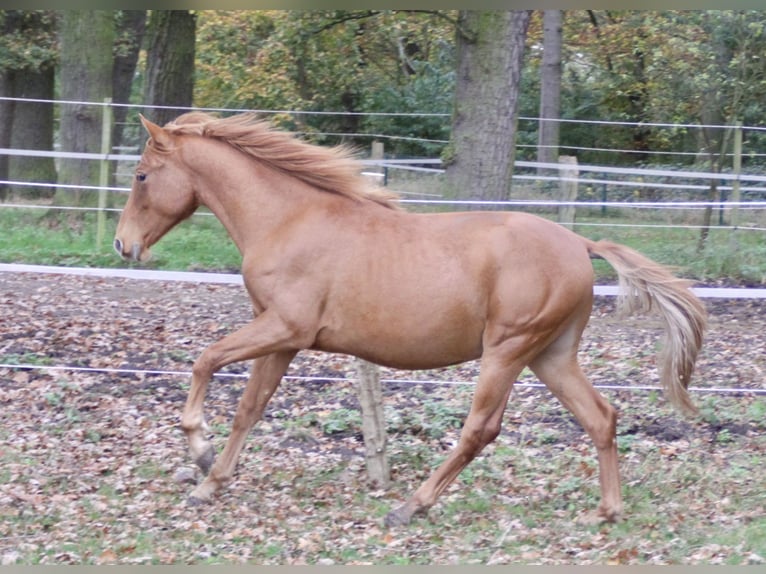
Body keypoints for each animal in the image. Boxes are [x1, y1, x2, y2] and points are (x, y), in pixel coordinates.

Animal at [114, 111, 708, 528]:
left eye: (142, 175)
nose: (123, 244)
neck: (288, 219)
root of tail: (580, 245)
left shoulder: (284, 328)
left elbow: (205, 361)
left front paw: (199, 450)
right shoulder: (280, 340)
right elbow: (248, 410)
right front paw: (210, 481)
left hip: (508, 350)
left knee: (480, 429)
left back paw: (410, 506)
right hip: (550, 354)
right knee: (600, 417)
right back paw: (607, 511)